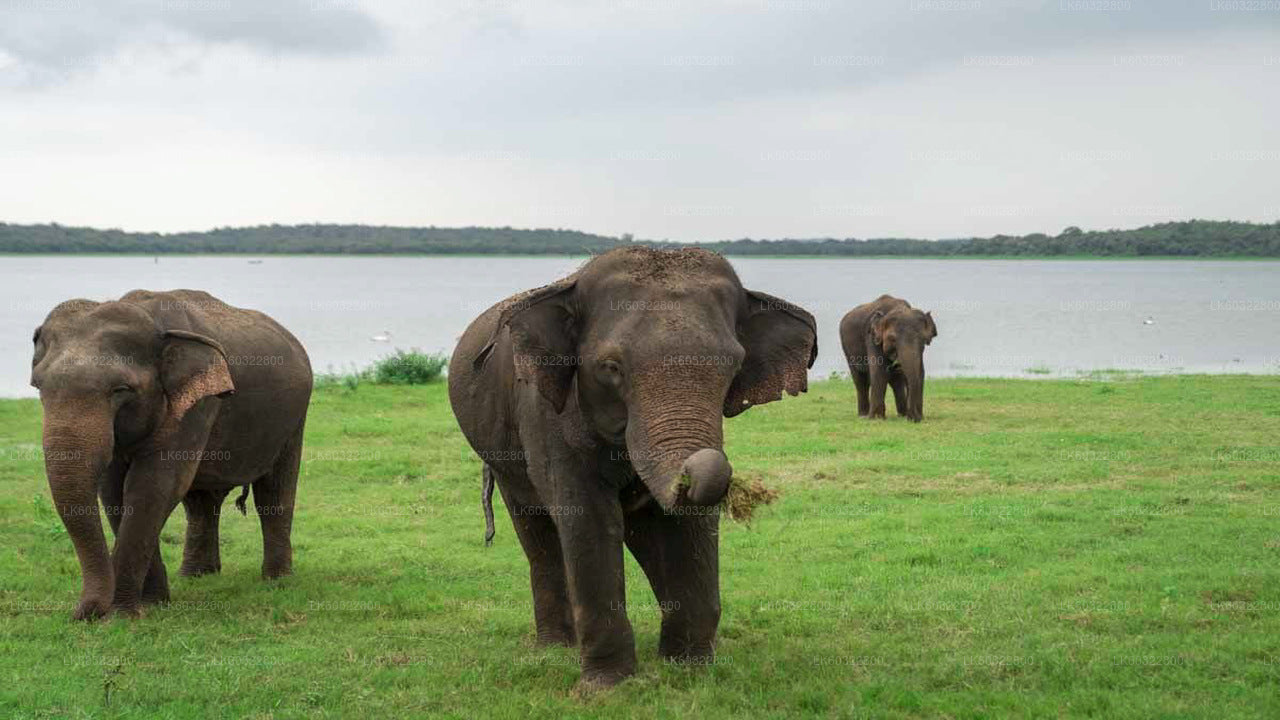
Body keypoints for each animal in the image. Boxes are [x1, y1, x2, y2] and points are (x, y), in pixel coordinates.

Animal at [30, 286, 312, 617]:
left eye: (121, 390)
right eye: (38, 387)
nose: (84, 614)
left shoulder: (197, 404)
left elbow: (154, 485)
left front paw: (122, 615)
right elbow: (114, 490)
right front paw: (152, 603)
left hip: (294, 418)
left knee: (274, 494)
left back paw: (276, 579)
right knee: (201, 501)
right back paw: (197, 575)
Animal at [450, 244, 819, 681]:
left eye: (733, 367)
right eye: (611, 368)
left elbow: (689, 524)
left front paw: (690, 672)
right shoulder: (545, 414)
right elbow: (589, 519)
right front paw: (609, 685)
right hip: (503, 455)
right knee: (537, 533)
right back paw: (556, 648)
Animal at [839, 294, 942, 422]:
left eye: (923, 340)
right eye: (892, 339)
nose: (914, 418)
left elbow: (920, 372)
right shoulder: (872, 339)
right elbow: (879, 371)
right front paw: (877, 419)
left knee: (896, 380)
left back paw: (902, 414)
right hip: (847, 349)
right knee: (860, 380)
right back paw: (863, 415)